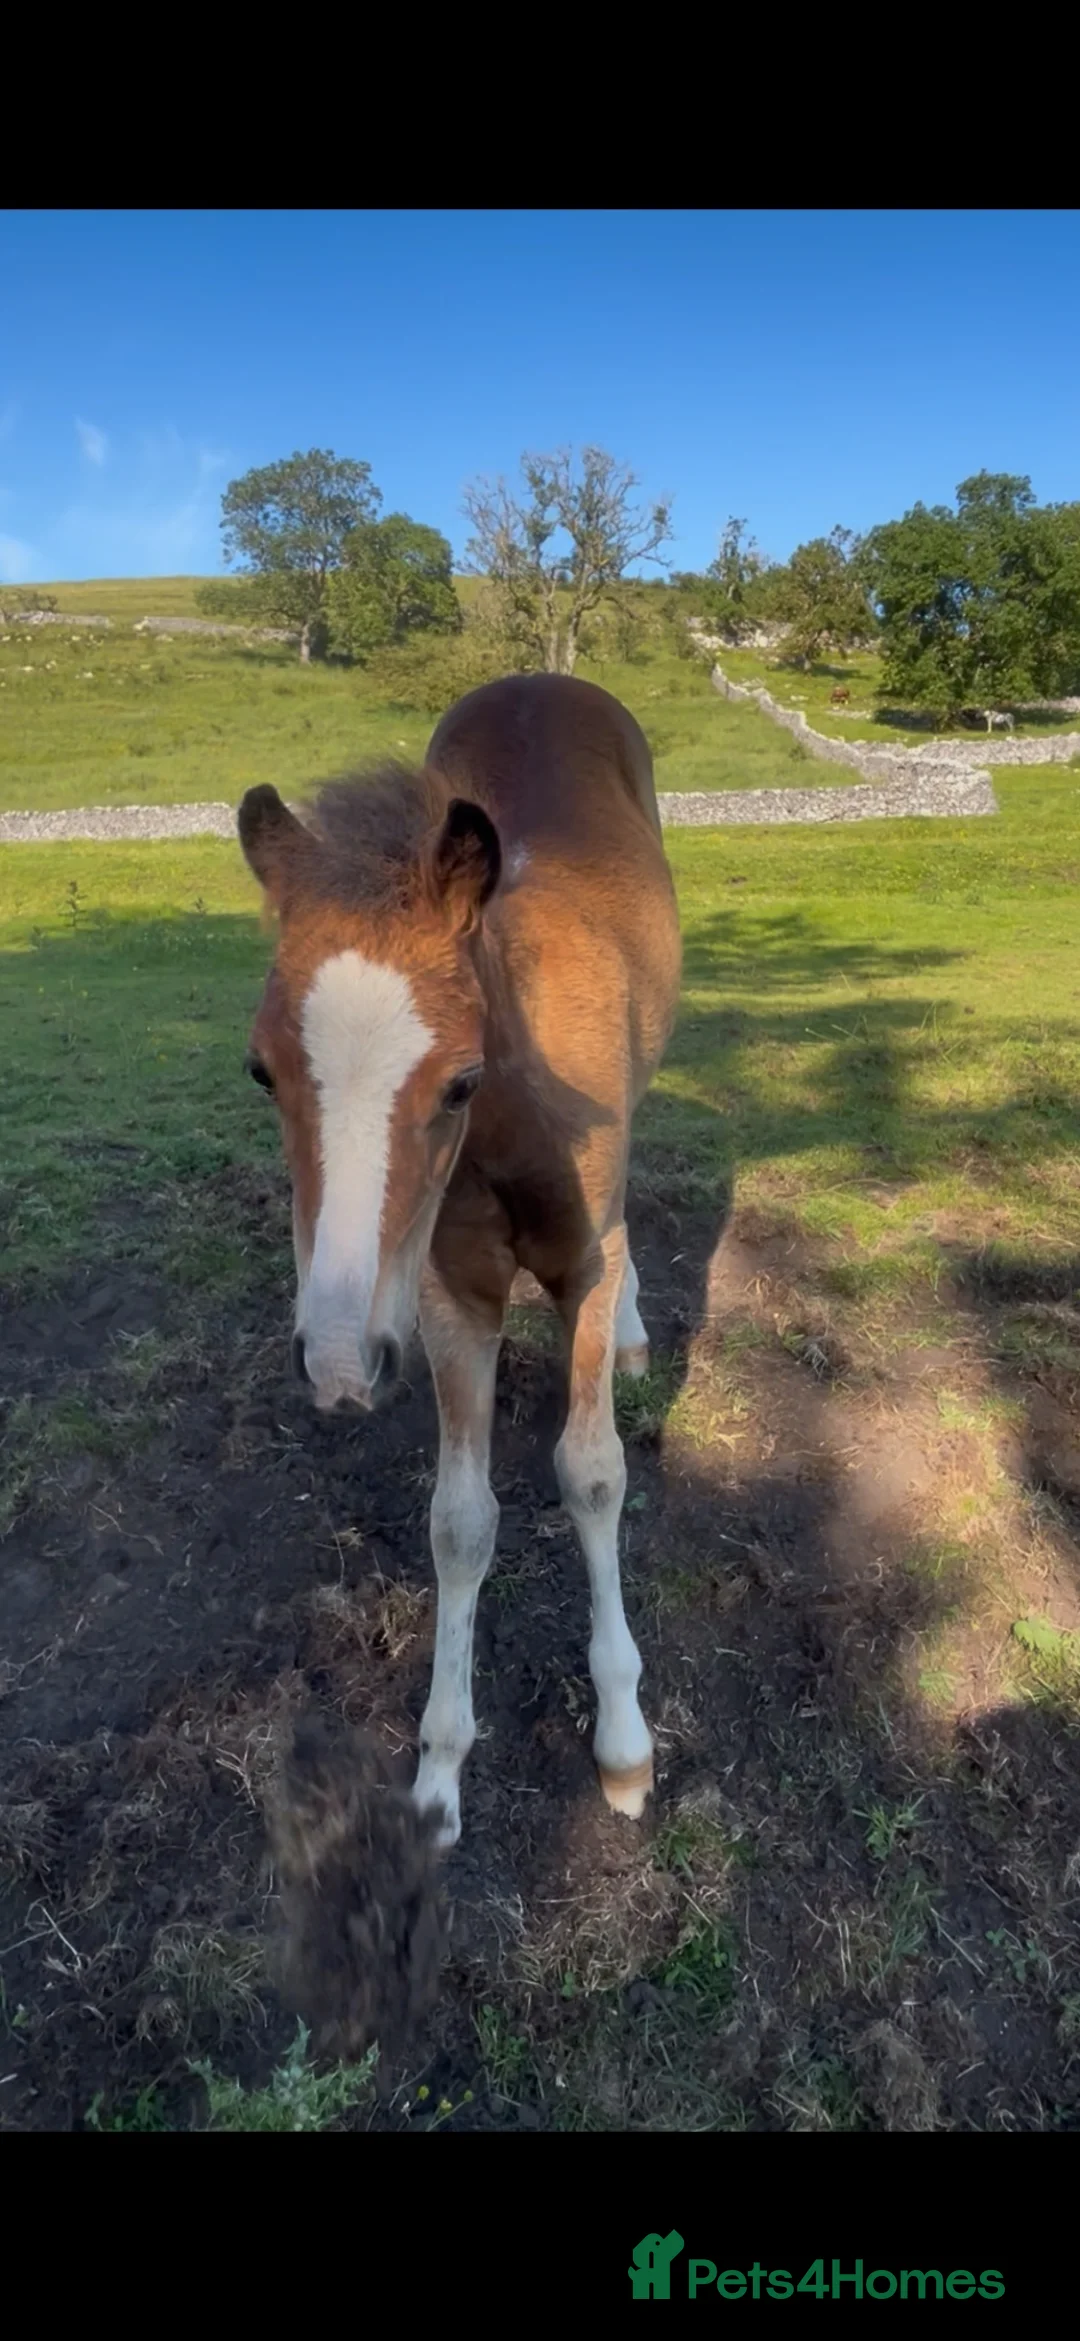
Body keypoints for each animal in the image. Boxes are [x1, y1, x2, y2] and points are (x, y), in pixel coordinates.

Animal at [237, 672, 683, 1850]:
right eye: (261, 1071)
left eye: (458, 1081)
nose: (338, 1362)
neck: (518, 1118)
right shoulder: (446, 1298)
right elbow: (460, 1520)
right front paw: (439, 1772)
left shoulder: (580, 1265)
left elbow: (592, 1473)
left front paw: (624, 1746)